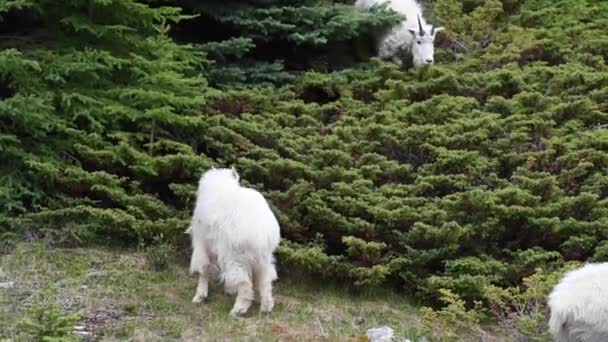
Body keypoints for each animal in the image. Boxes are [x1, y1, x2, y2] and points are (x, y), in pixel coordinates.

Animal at [186, 167, 282, 316]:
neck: (220, 185)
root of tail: (262, 231)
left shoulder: (203, 245)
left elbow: (204, 269)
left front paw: (199, 297)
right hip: (263, 259)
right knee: (265, 280)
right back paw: (266, 307)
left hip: (237, 258)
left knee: (245, 283)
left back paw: (238, 310)